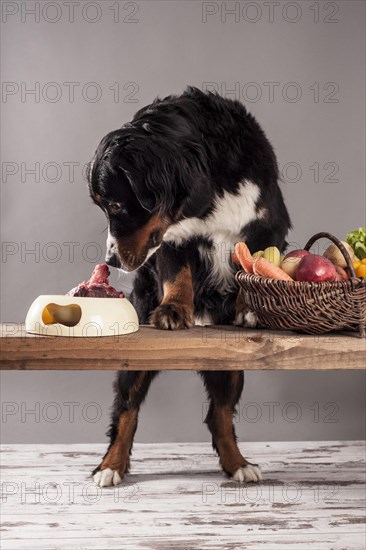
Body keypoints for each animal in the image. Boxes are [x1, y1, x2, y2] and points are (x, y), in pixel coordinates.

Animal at [87, 86, 290, 488]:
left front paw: (249, 308)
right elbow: (177, 275)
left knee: (219, 414)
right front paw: (173, 310)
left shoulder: (268, 226)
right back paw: (110, 466)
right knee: (126, 411)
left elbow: (255, 266)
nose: (111, 259)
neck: (207, 191)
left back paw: (238, 464)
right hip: (134, 363)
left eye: (115, 204)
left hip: (229, 366)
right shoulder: (170, 238)